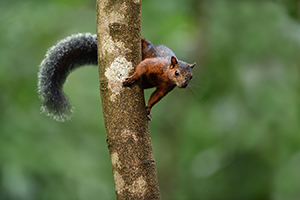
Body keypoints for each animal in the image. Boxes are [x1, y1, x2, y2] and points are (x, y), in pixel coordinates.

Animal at [37, 32, 196, 122]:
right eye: (177, 73)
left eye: (191, 77)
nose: (184, 85)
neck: (166, 76)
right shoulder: (155, 63)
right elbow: (142, 66)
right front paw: (133, 78)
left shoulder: (166, 88)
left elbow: (156, 96)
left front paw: (149, 109)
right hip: (147, 48)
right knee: (144, 43)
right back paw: (141, 40)